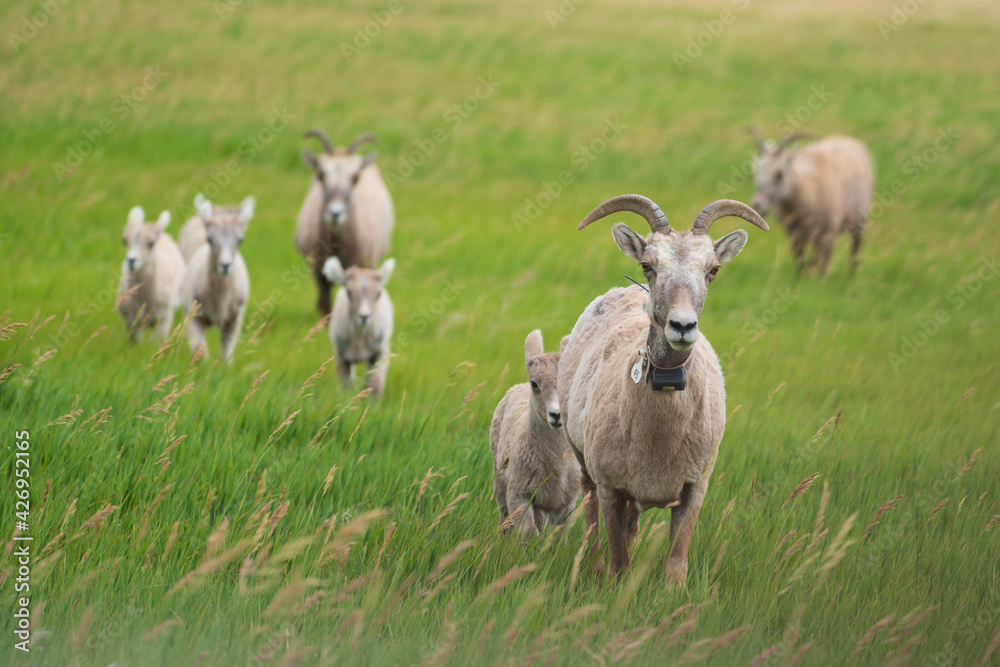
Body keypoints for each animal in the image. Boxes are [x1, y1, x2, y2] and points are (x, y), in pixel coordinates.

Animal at [180, 194, 254, 363]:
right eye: (209, 239)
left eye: (240, 240)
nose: (225, 265)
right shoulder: (194, 317)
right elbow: (201, 353)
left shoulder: (234, 319)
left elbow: (225, 355)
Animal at [321, 256, 395, 398]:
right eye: (349, 293)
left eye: (378, 294)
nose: (364, 316)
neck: (360, 338)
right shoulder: (340, 354)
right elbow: (345, 384)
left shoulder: (380, 351)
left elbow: (375, 384)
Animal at [490, 330, 581, 539]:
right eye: (535, 384)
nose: (556, 414)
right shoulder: (519, 494)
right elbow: (528, 531)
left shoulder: (567, 503)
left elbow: (558, 538)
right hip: (500, 479)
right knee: (504, 518)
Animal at [558, 195, 768, 584]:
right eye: (647, 265)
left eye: (713, 270)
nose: (682, 326)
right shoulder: (610, 488)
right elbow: (619, 562)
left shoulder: (694, 488)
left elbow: (675, 564)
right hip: (583, 463)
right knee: (591, 519)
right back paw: (590, 567)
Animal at [748, 129, 874, 275]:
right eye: (755, 172)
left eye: (780, 174)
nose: (758, 204)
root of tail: (848, 140)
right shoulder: (794, 235)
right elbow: (800, 263)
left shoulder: (827, 234)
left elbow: (819, 264)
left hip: (858, 221)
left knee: (854, 248)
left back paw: (851, 275)